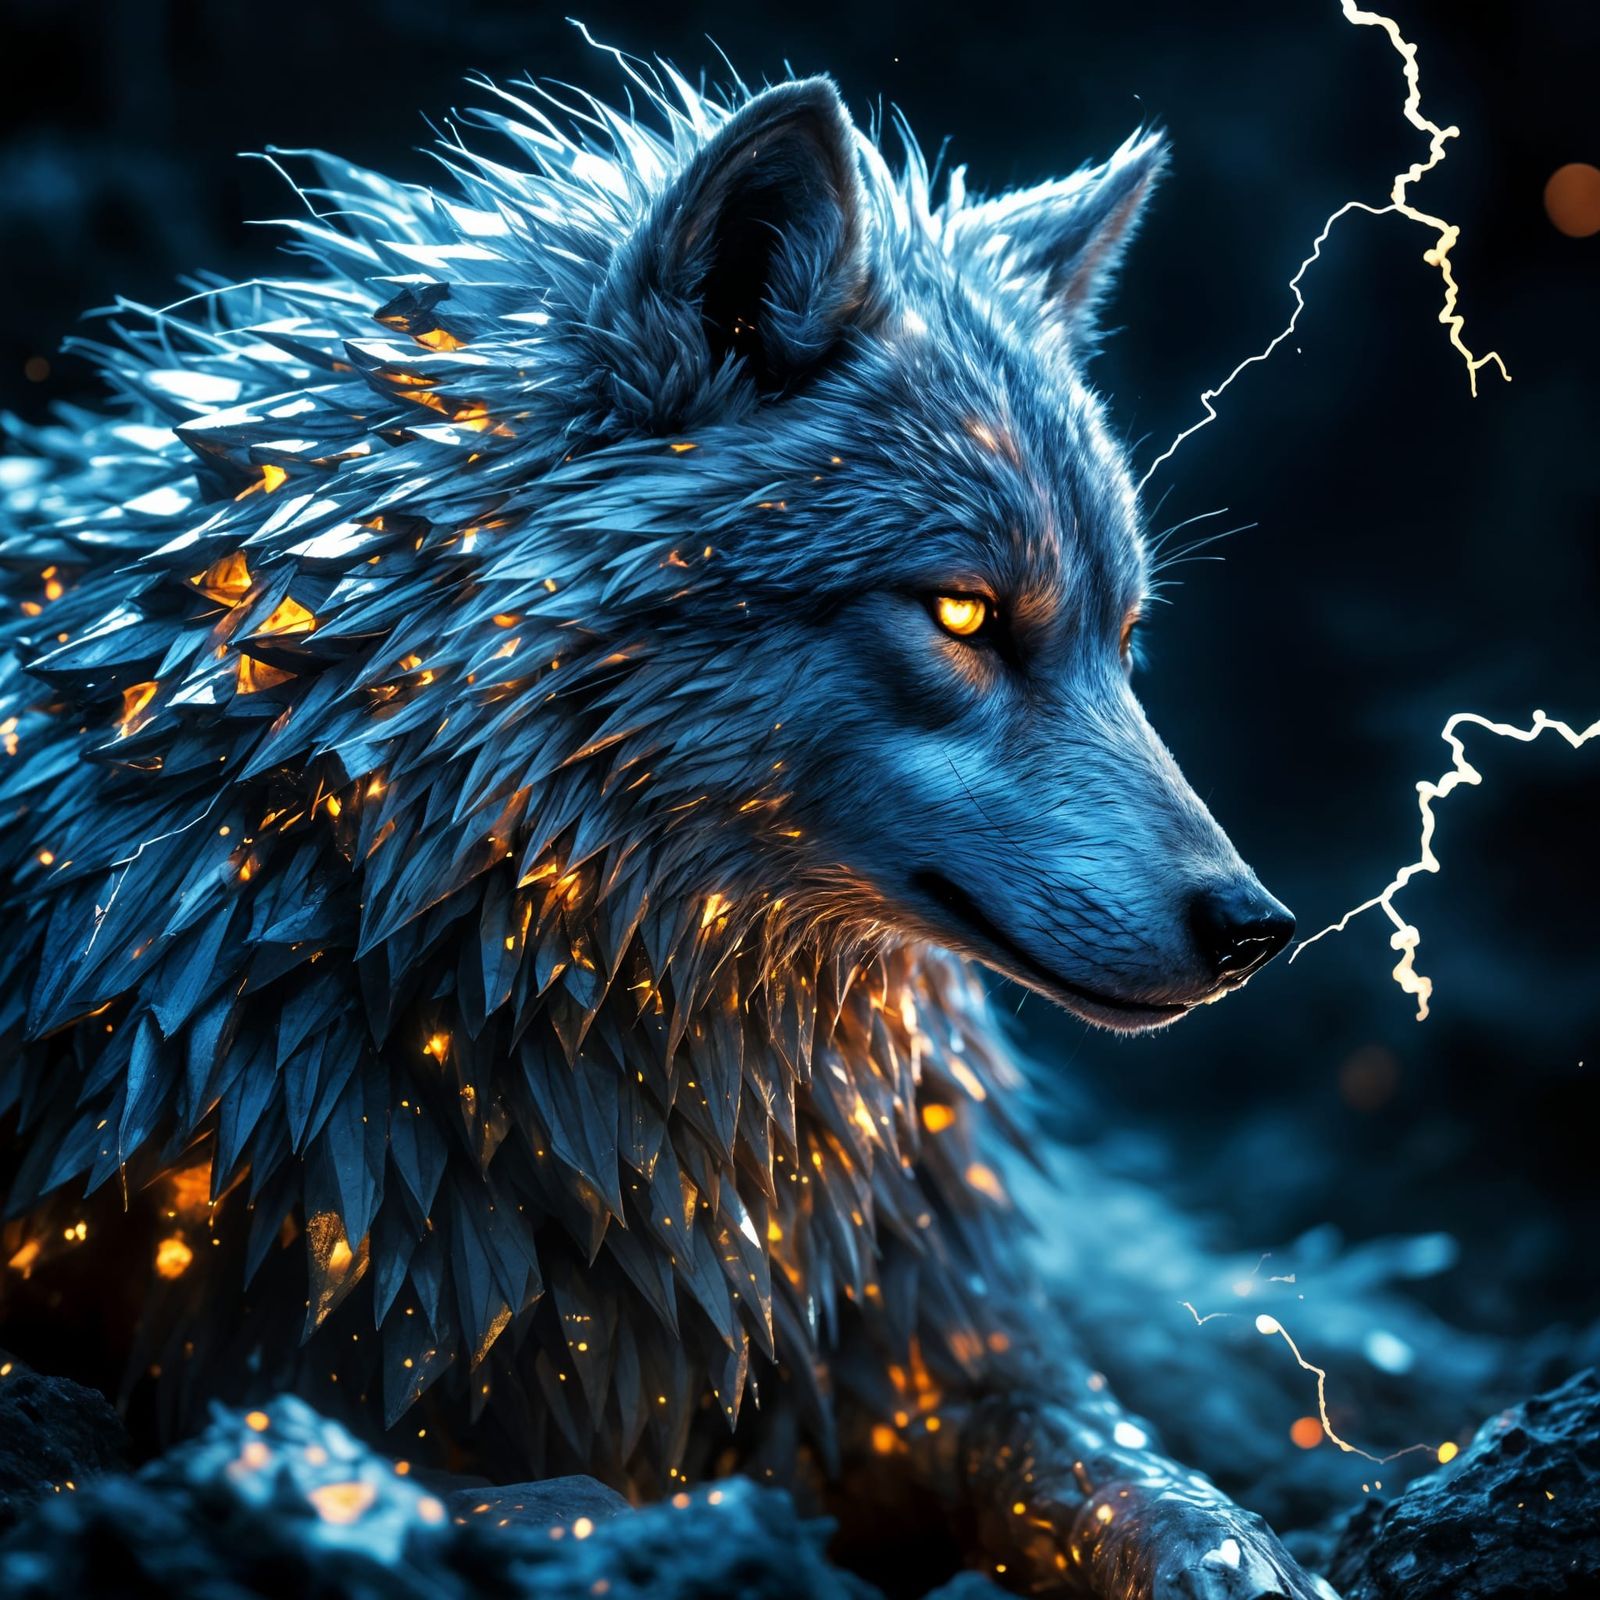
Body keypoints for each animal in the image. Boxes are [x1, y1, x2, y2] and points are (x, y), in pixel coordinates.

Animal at [0, 53, 1323, 1598]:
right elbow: (562, 1500)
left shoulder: (949, 1350)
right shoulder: (247, 1382)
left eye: (1124, 639)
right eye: (963, 615)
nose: (1256, 931)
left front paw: (1238, 1552)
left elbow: (1151, 1483)